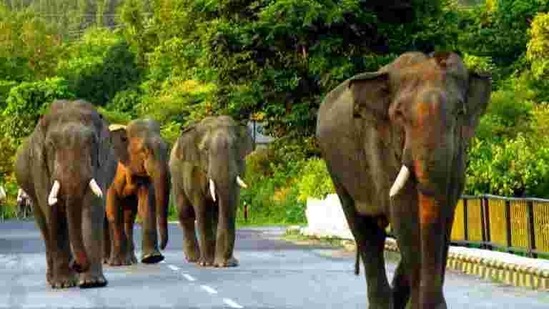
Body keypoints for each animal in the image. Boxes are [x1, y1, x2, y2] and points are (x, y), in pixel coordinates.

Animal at [13, 99, 116, 288]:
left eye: (92, 142)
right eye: (51, 145)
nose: (76, 264)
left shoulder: (100, 164)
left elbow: (92, 207)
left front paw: (92, 282)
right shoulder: (40, 166)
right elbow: (53, 211)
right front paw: (63, 284)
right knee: (44, 224)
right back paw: (52, 279)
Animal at [103, 118, 169, 264]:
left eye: (167, 148)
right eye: (144, 150)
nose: (163, 246)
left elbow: (146, 206)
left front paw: (152, 258)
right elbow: (113, 210)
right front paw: (120, 263)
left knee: (129, 218)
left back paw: (130, 260)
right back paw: (109, 261)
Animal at [169, 115, 253, 268]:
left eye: (234, 147)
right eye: (206, 150)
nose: (227, 262)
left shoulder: (240, 167)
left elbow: (229, 203)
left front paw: (224, 263)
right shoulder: (193, 171)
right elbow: (201, 209)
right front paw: (206, 263)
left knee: (214, 214)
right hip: (175, 177)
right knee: (185, 213)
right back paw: (194, 258)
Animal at [314, 51, 490, 306]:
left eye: (460, 113)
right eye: (398, 114)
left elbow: (445, 215)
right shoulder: (379, 145)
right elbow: (404, 213)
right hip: (334, 166)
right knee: (365, 232)